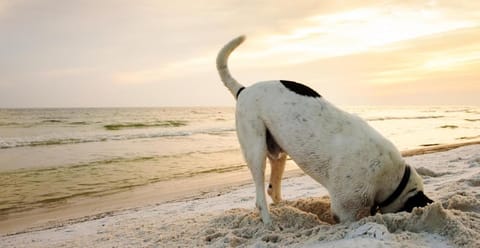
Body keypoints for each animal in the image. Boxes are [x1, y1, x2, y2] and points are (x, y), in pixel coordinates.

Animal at [216, 35, 434, 225]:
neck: (391, 177)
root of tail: (244, 90)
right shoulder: (347, 209)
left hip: (278, 153)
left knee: (273, 189)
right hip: (256, 149)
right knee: (260, 196)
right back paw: (269, 222)